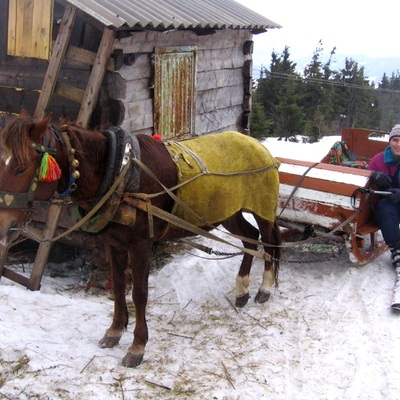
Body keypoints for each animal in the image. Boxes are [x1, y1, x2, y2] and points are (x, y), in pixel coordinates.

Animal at [0, 111, 282, 366]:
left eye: (22, 167)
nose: (4, 224)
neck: (119, 173)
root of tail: (260, 146)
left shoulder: (140, 245)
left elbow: (139, 293)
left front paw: (137, 346)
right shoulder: (114, 243)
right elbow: (118, 287)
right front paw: (114, 330)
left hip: (262, 207)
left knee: (268, 241)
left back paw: (264, 288)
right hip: (229, 211)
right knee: (250, 239)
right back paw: (242, 290)